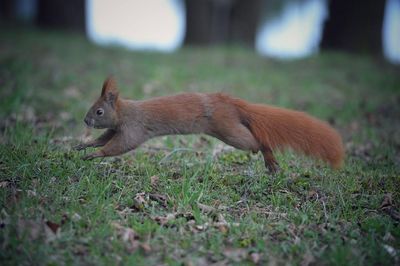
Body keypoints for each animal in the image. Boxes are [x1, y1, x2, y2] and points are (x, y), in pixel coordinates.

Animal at [76, 77, 346, 172]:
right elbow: (103, 139)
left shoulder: (134, 129)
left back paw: (269, 158)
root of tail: (231, 103)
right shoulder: (116, 127)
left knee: (256, 142)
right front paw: (84, 146)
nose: (86, 120)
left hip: (228, 130)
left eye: (99, 111)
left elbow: (118, 146)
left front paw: (94, 155)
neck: (125, 111)